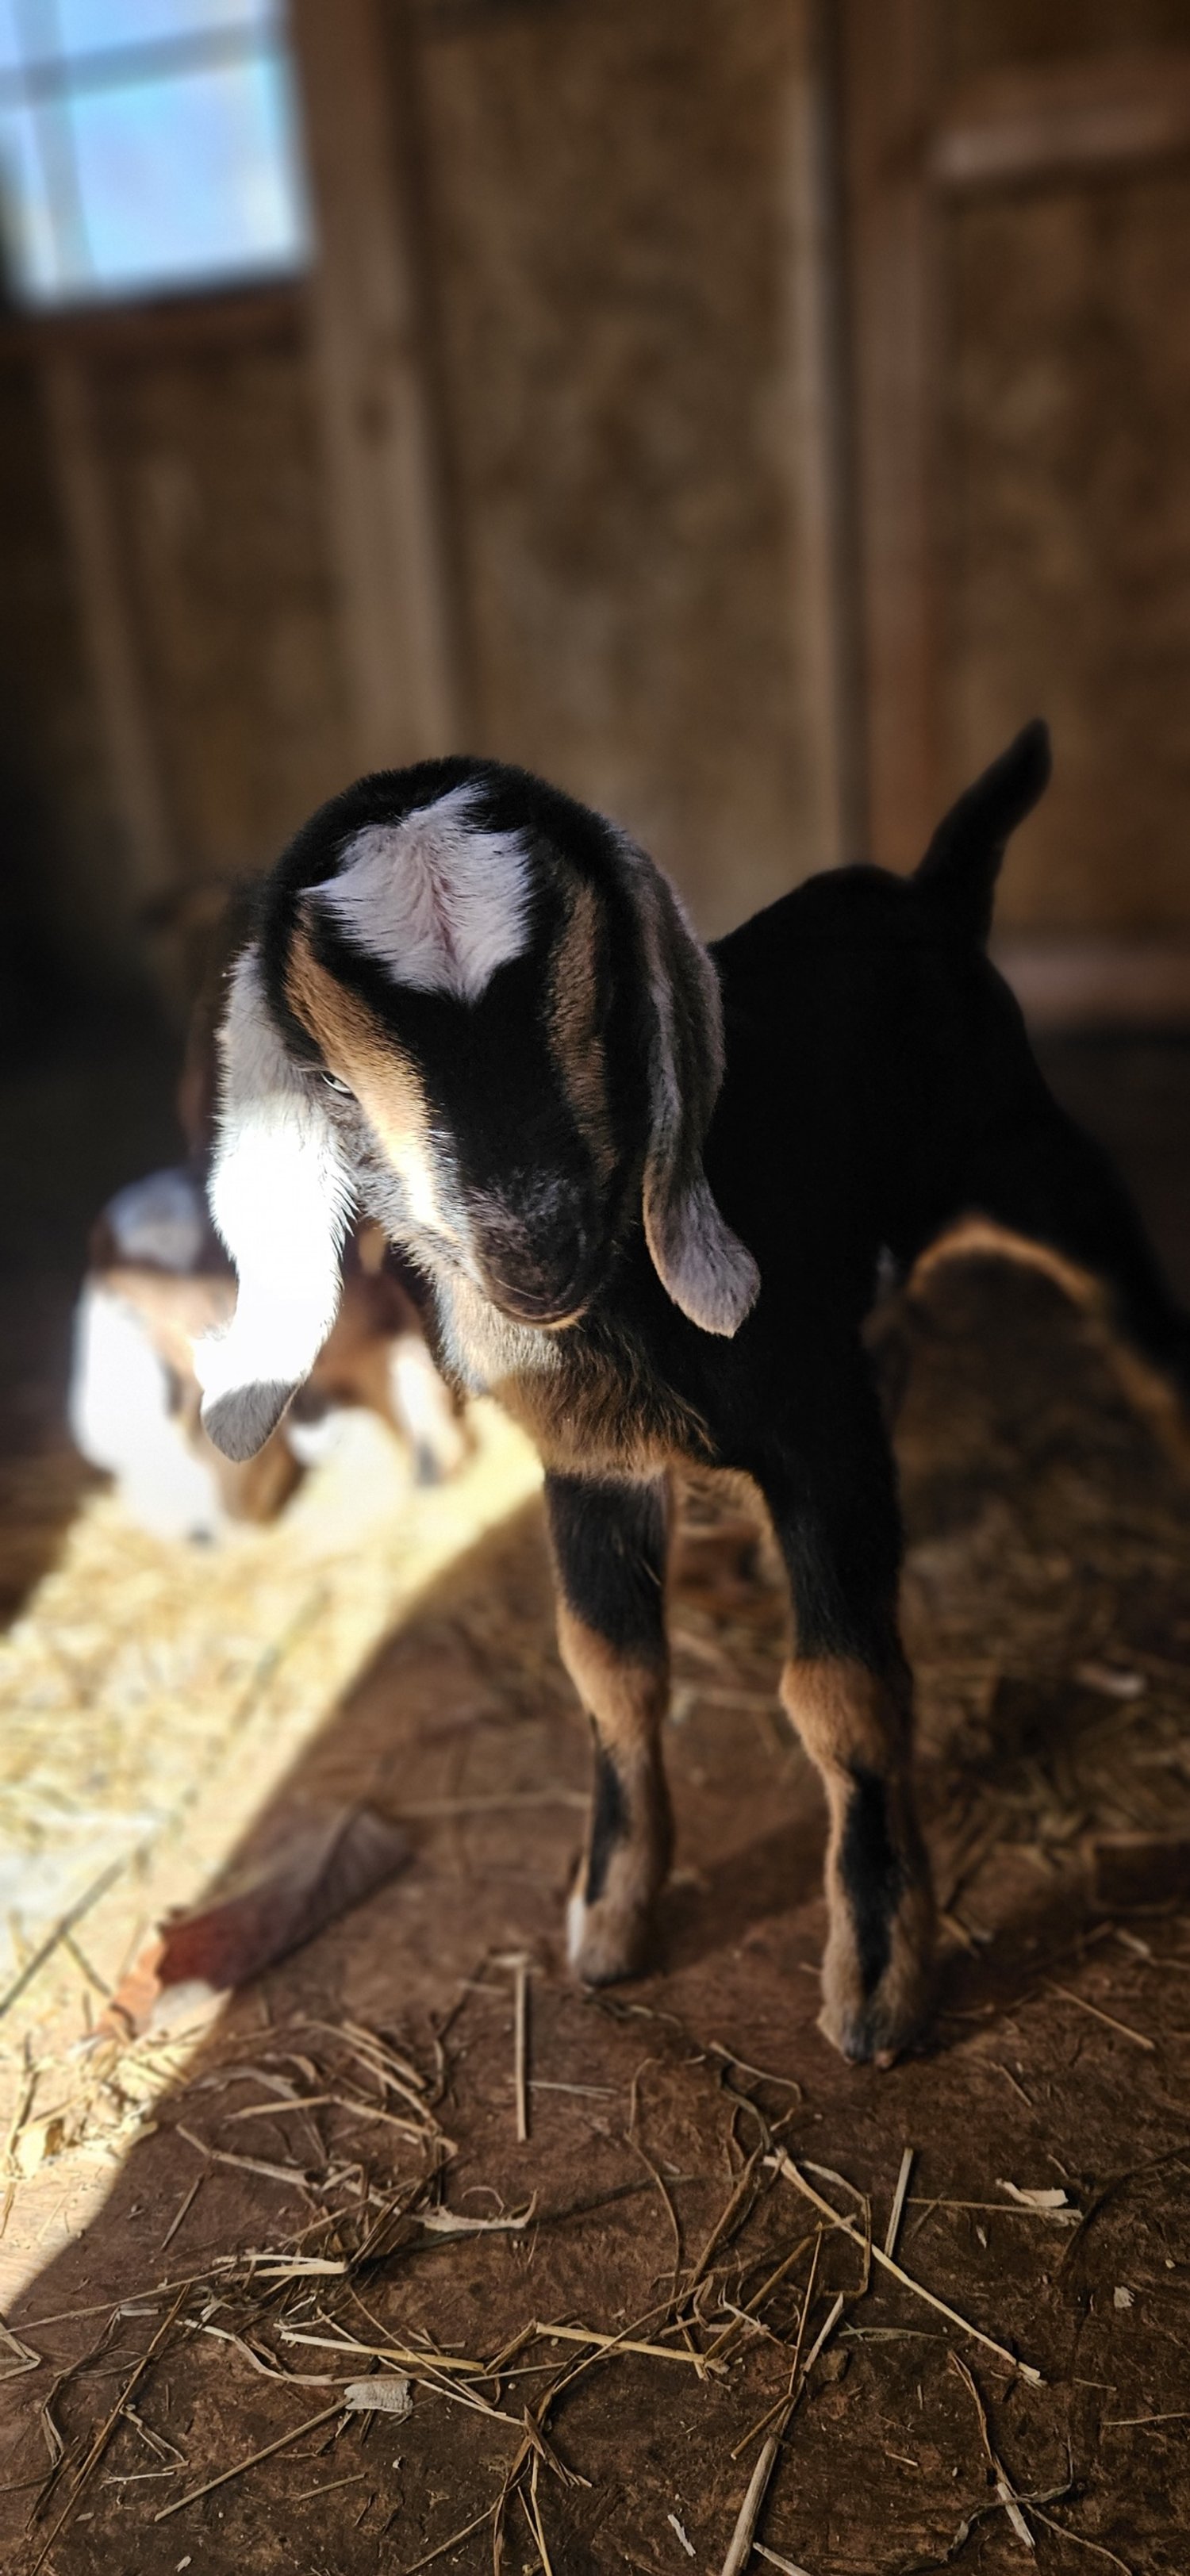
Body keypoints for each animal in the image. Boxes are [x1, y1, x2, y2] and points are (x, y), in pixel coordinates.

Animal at [193, 723, 1190, 2062]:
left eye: (600, 989)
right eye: (337, 1079)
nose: (533, 1249)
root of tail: (928, 892)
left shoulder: (821, 1431)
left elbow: (840, 1688)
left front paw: (877, 1981)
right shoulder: (587, 1461)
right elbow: (607, 1668)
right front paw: (609, 1914)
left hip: (1036, 1160)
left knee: (1144, 1335)